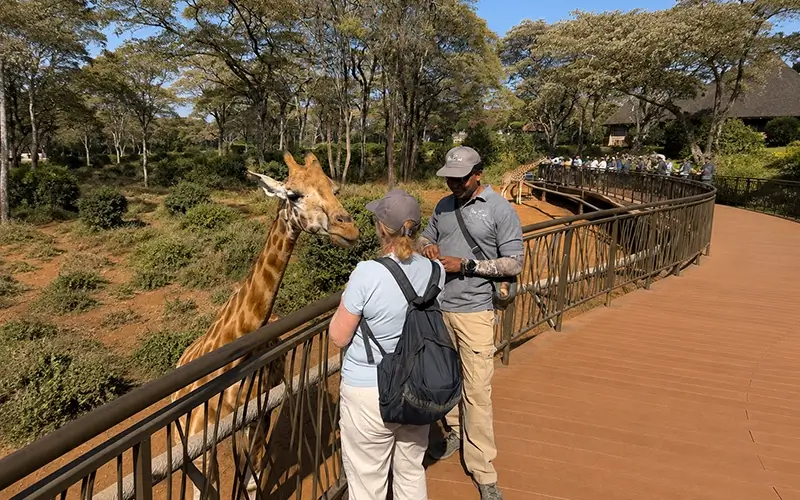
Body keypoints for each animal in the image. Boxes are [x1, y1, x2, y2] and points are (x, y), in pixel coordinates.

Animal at [171, 151, 359, 500]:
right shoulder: (200, 445)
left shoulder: (255, 422)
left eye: (335, 188)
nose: (350, 228)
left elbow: (250, 482)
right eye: (294, 195)